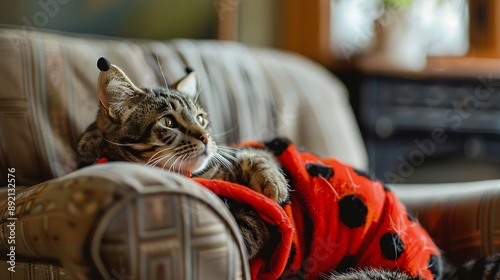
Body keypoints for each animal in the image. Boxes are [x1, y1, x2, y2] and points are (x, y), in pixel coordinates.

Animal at [76, 58, 498, 278]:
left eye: (201, 118)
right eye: (168, 122)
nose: (206, 137)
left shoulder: (252, 153)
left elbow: (259, 156)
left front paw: (275, 186)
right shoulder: (248, 226)